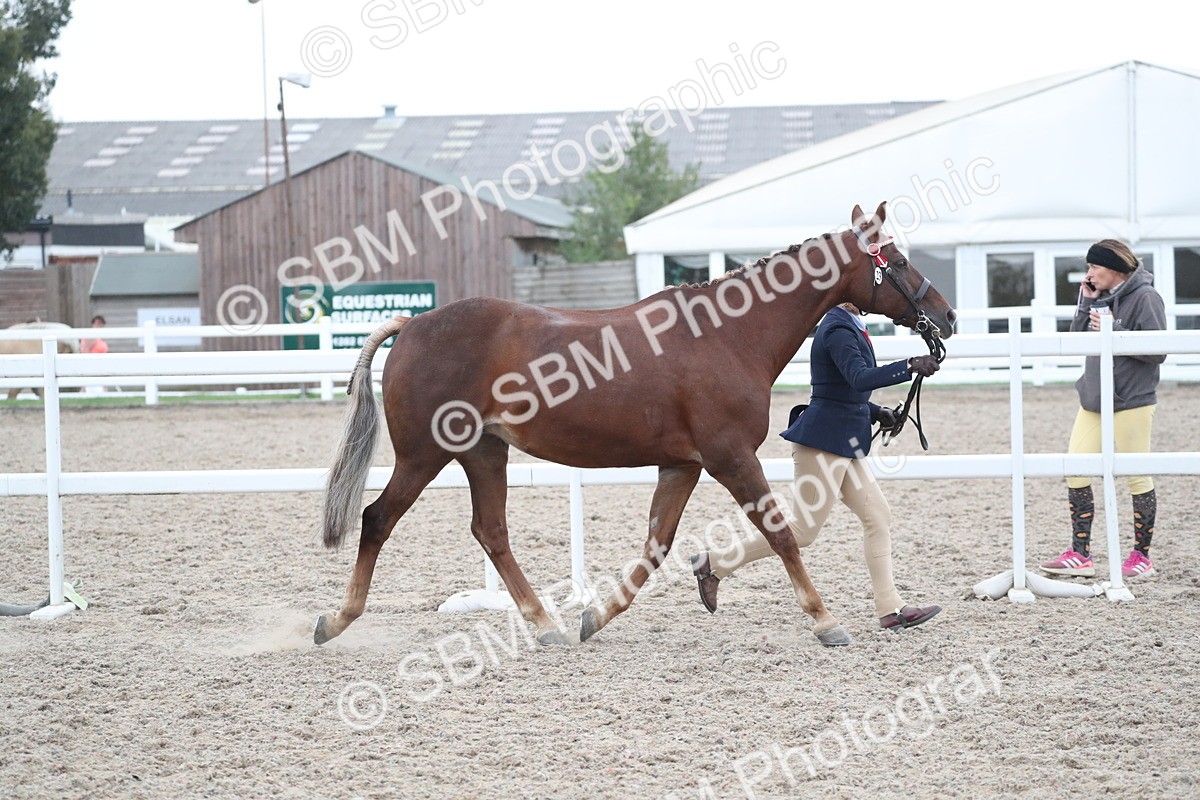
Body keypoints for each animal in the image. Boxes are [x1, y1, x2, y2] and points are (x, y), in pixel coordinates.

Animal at [314, 202, 956, 648]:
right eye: (898, 261)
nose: (946, 317)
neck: (727, 335)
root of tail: (412, 325)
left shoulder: (682, 465)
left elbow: (656, 546)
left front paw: (594, 617)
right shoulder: (730, 457)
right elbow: (779, 534)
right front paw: (826, 621)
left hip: (483, 453)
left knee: (491, 531)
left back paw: (546, 625)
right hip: (424, 455)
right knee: (377, 520)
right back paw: (336, 620)